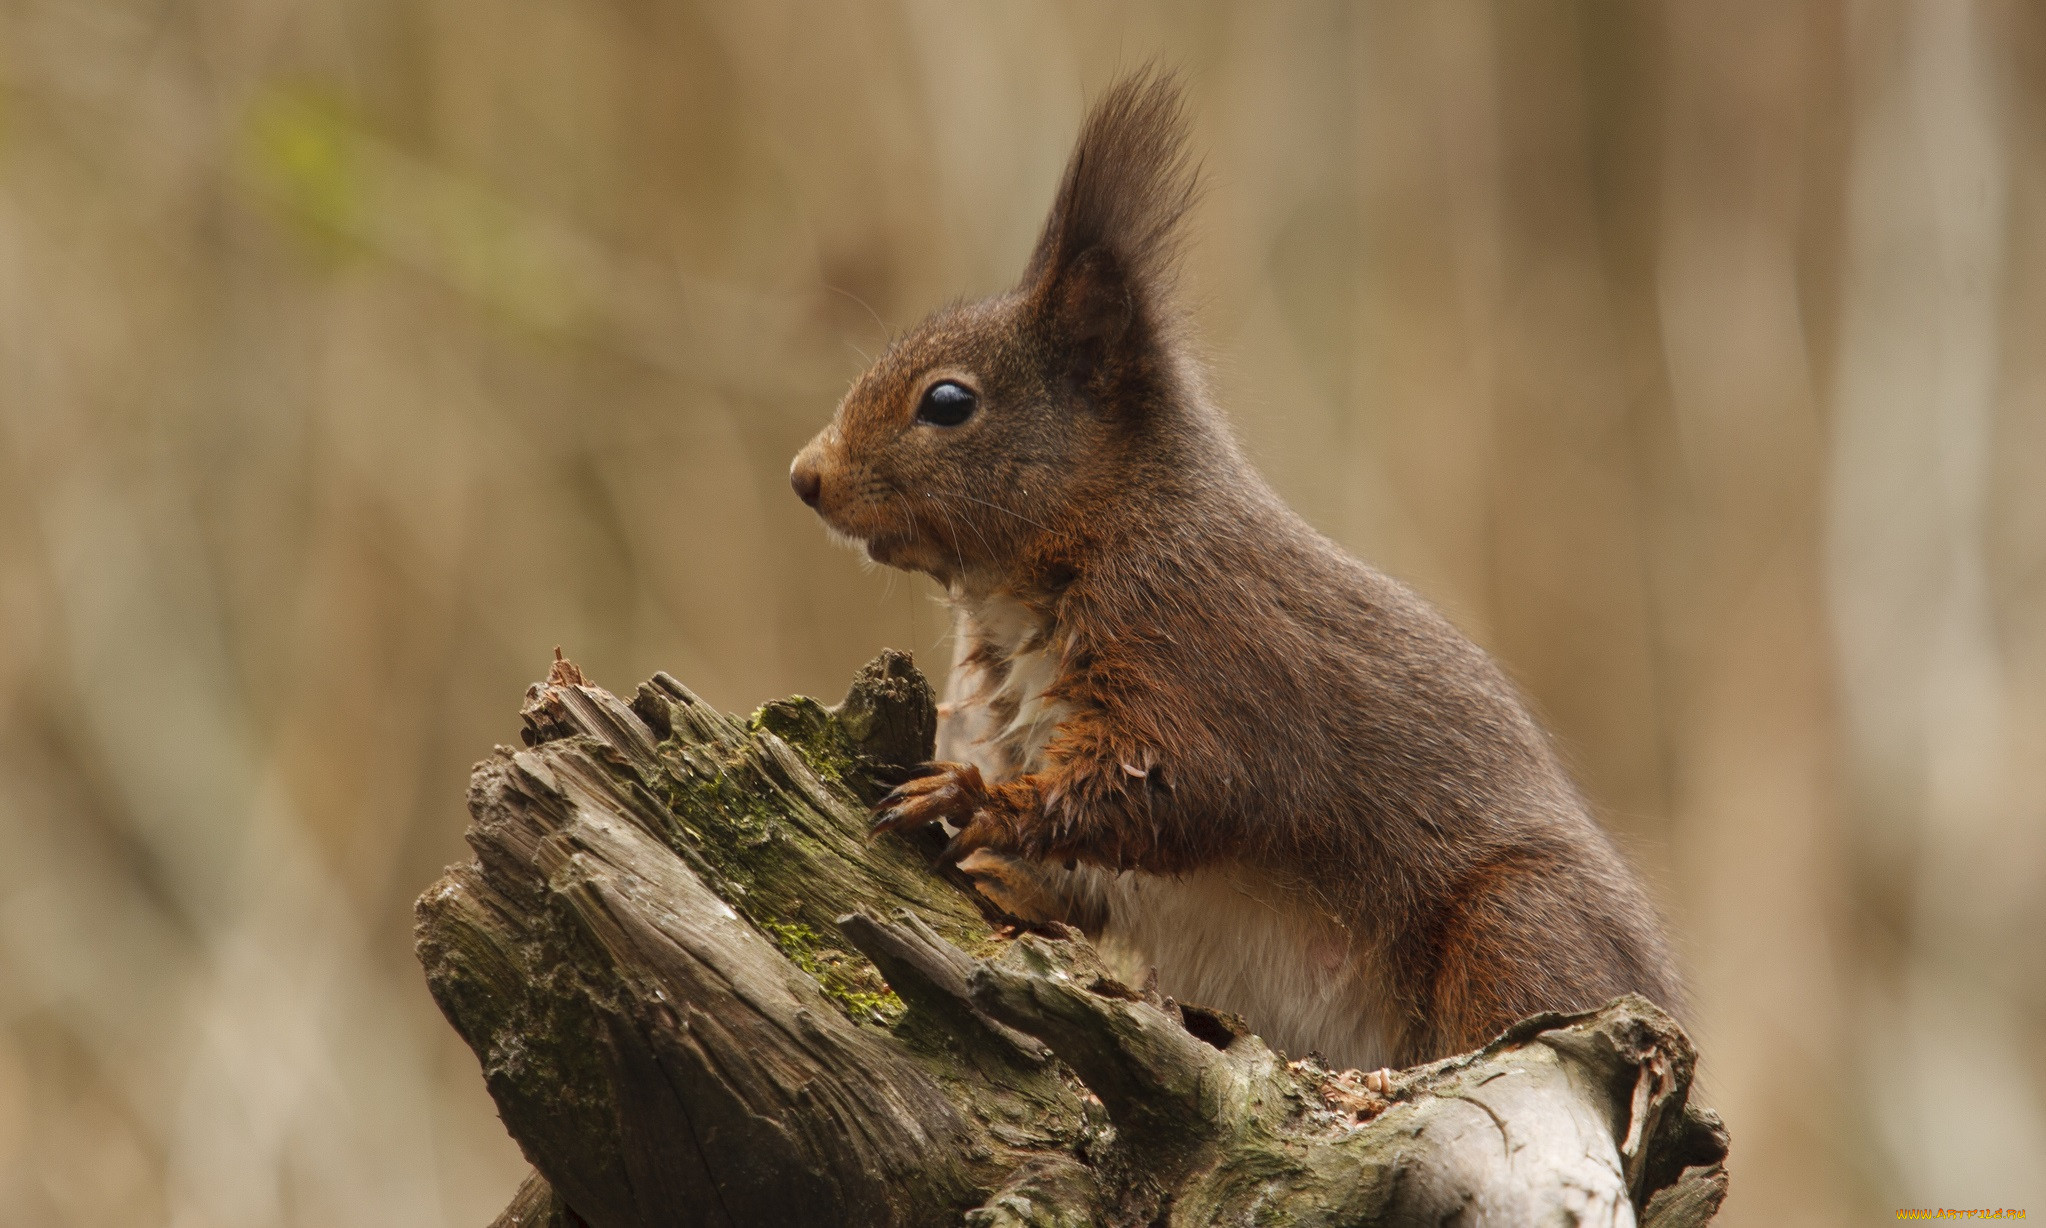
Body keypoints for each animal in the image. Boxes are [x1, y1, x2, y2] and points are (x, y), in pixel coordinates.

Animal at [781, 72, 1677, 1072]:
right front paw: (1005, 869)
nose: (806, 477)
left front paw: (972, 802)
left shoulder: (1213, 649)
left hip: (1519, 921)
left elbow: (1186, 786)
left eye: (947, 401)